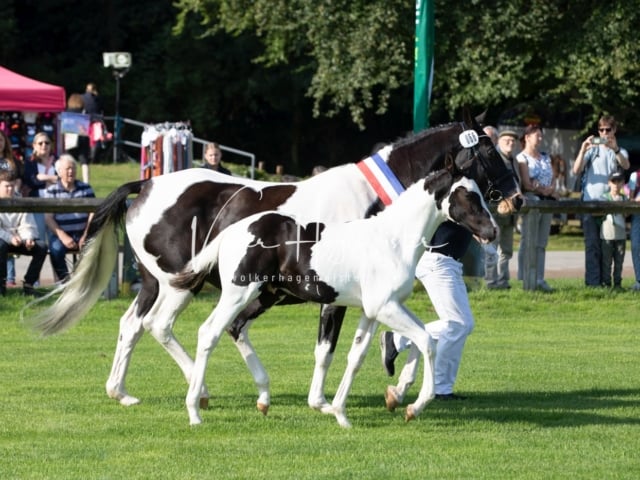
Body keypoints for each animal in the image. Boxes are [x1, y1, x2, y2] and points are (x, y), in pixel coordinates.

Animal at [172, 172, 498, 428]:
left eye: (482, 193)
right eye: (467, 196)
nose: (492, 231)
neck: (392, 240)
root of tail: (231, 231)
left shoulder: (373, 311)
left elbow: (360, 355)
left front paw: (344, 411)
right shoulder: (385, 307)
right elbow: (427, 341)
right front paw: (413, 407)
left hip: (265, 295)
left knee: (234, 328)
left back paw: (261, 400)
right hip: (238, 292)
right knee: (208, 333)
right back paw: (195, 411)